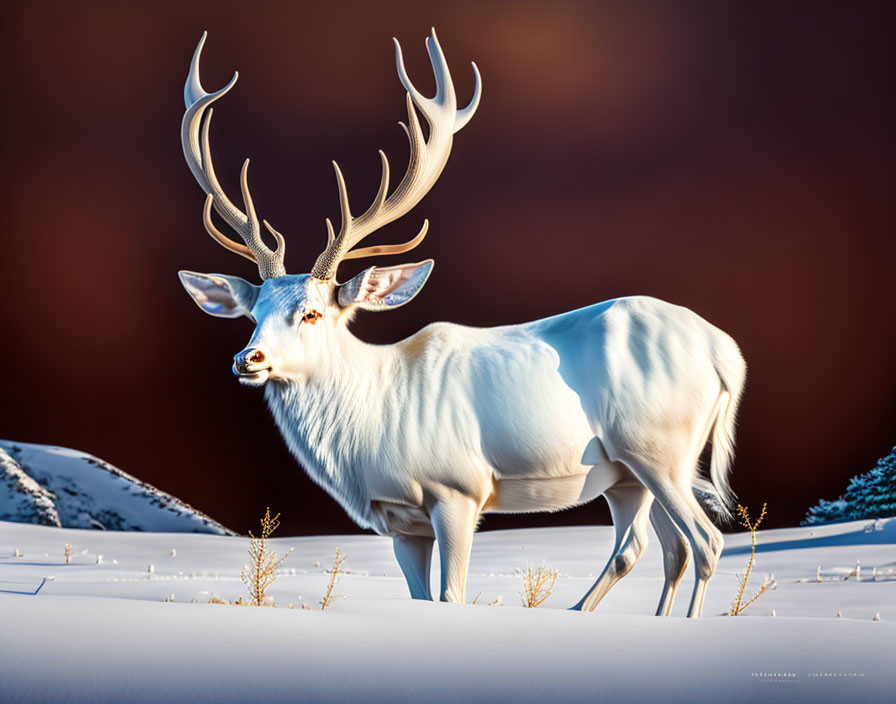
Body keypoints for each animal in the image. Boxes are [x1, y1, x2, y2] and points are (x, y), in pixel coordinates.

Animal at [178, 31, 744, 616]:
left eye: (312, 312)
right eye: (253, 315)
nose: (249, 358)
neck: (373, 423)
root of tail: (726, 353)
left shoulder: (458, 488)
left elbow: (451, 595)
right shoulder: (400, 523)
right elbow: (421, 598)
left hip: (659, 446)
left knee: (704, 540)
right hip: (630, 472)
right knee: (654, 546)